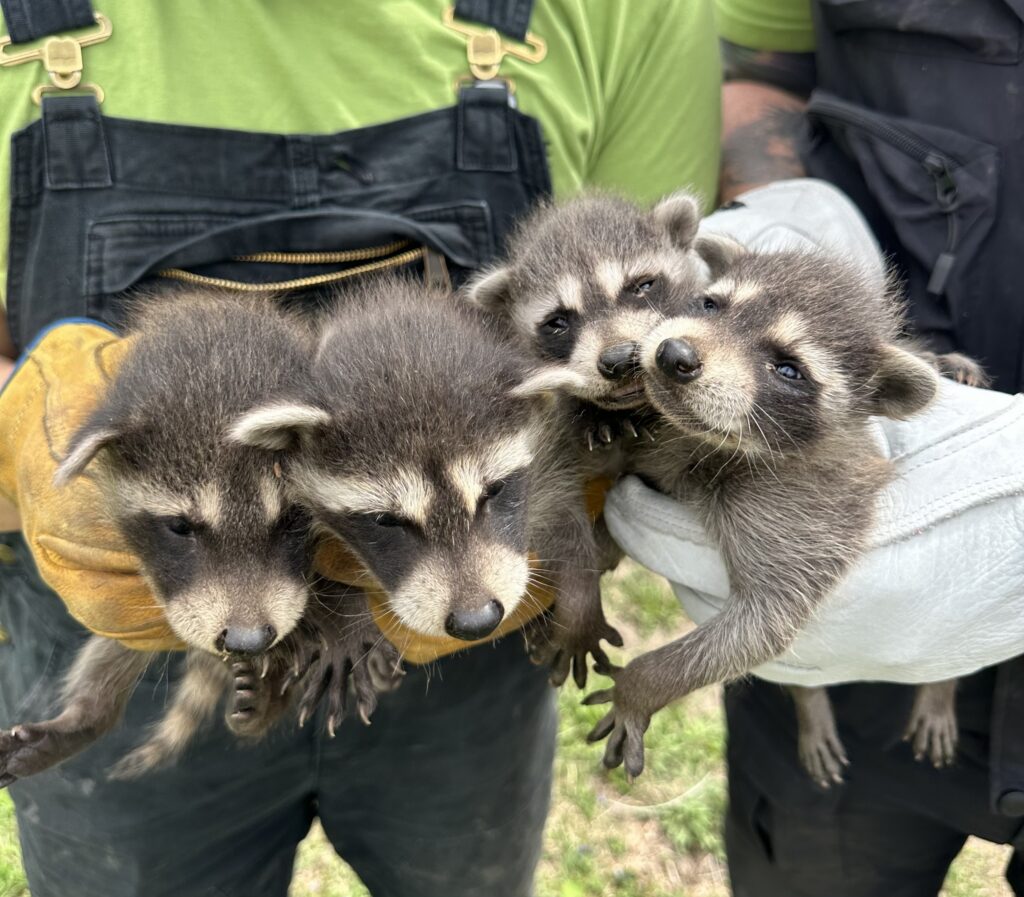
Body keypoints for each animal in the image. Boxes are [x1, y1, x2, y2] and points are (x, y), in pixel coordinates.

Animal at [230, 275, 618, 687]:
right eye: (386, 520)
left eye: (493, 491)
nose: (476, 621)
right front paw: (344, 621)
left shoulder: (546, 455)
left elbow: (566, 523)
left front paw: (579, 606)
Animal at [584, 243, 946, 782]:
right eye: (710, 305)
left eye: (789, 369)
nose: (674, 355)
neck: (709, 440)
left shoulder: (805, 506)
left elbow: (764, 623)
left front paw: (644, 684)